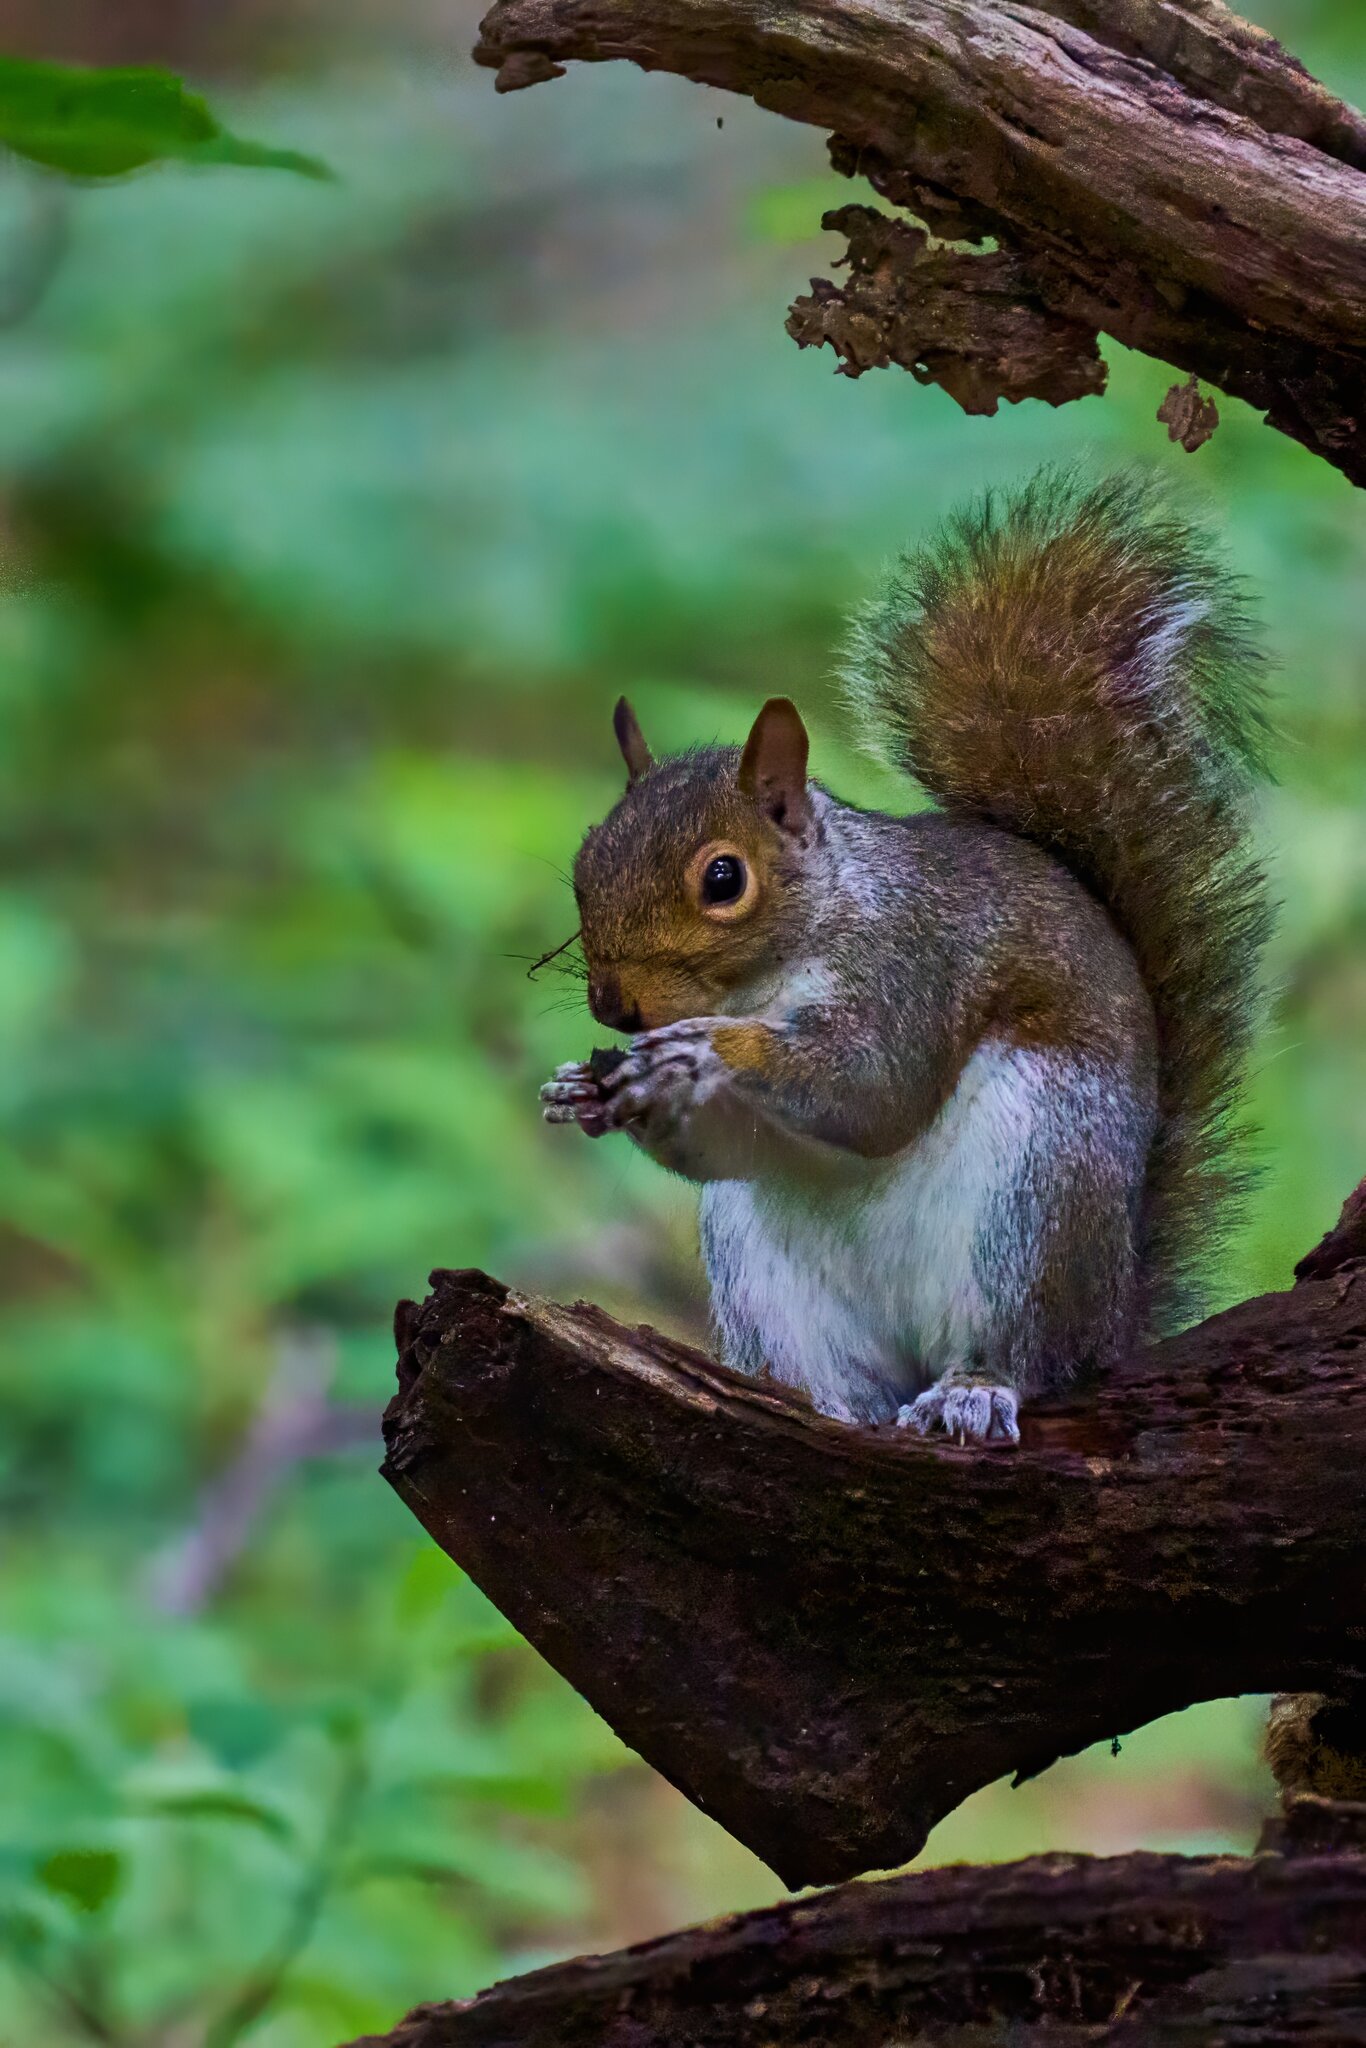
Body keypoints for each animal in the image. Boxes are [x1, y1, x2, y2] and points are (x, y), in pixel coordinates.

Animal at [540, 473, 1269, 1449]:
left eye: (724, 878)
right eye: (585, 862)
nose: (614, 1007)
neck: (784, 960)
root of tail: (1111, 1321)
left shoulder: (913, 963)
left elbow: (874, 1088)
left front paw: (707, 1050)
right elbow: (723, 1148)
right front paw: (585, 1091)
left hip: (1037, 1195)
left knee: (1020, 1351)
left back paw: (973, 1390)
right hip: (762, 1274)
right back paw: (817, 1406)